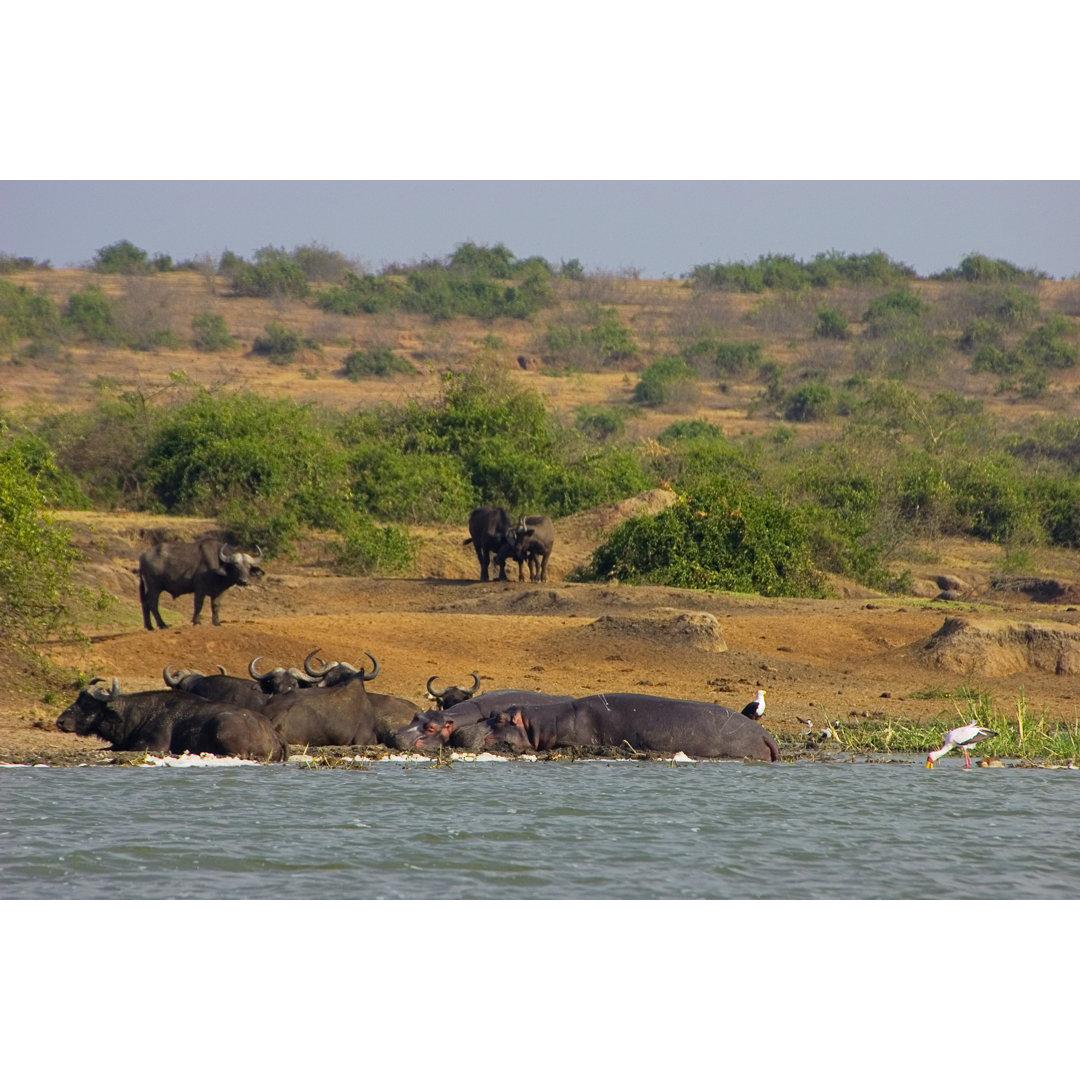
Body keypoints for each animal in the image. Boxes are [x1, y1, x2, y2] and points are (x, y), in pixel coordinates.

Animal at [54, 678, 287, 764]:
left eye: (87, 703)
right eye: (78, 698)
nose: (61, 721)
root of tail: (273, 732)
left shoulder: (151, 745)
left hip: (222, 726)